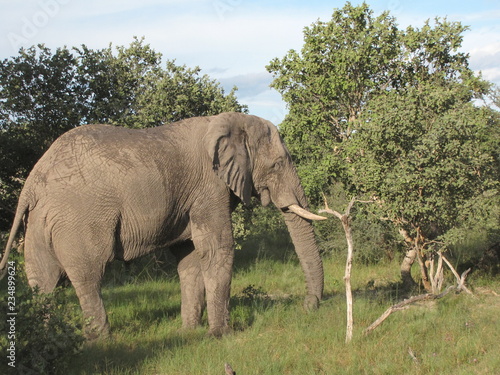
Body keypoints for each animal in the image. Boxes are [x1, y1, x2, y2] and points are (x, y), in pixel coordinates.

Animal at [0, 112, 326, 340]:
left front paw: (189, 333)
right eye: (277, 165)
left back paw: (51, 340)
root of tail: (32, 181)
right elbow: (216, 249)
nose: (308, 306)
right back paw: (100, 341)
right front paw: (220, 336)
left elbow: (189, 256)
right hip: (78, 218)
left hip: (40, 221)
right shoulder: (209, 188)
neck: (230, 121)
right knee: (88, 274)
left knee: (43, 282)